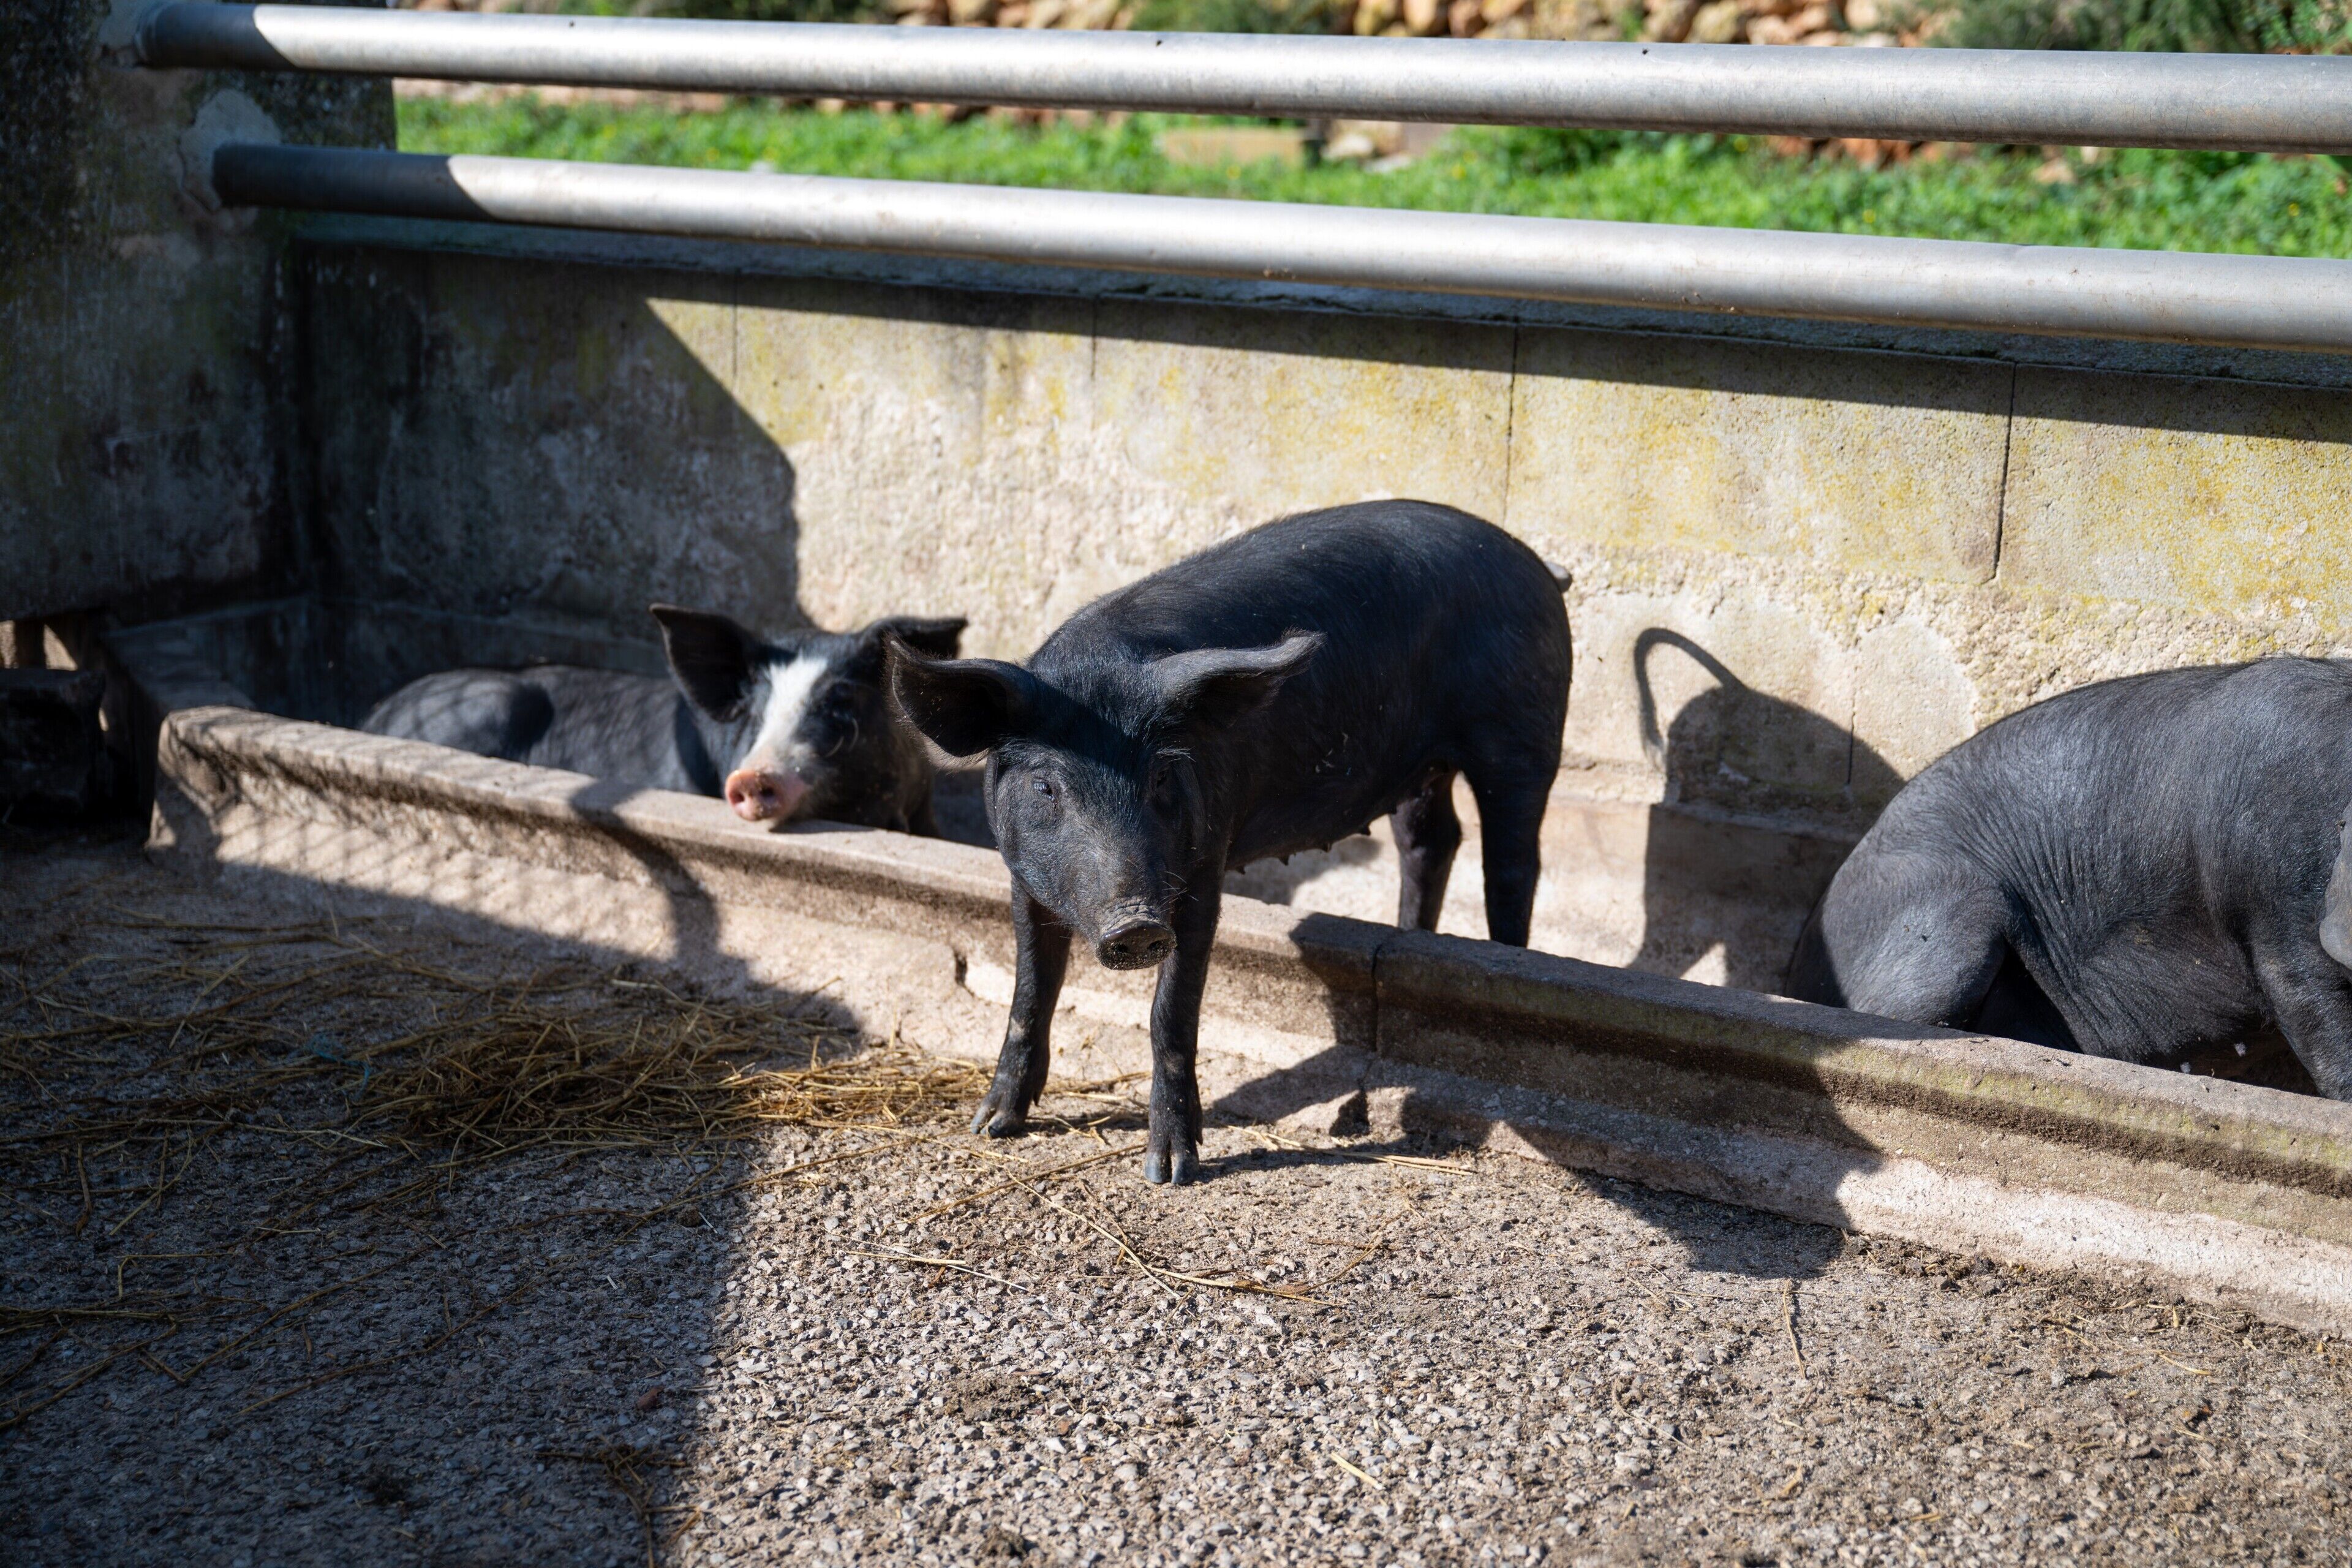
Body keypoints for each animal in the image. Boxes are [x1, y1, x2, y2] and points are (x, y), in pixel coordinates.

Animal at [886, 500, 1573, 1184]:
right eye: (1045, 785)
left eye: (1162, 776)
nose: (1137, 924)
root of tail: (1537, 565)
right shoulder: (1023, 875)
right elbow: (1030, 989)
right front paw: (992, 1125)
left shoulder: (1202, 867)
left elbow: (1171, 1011)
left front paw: (1169, 1172)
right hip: (1419, 768)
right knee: (1431, 840)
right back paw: (1413, 937)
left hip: (1525, 730)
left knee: (1513, 860)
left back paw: (1509, 961)